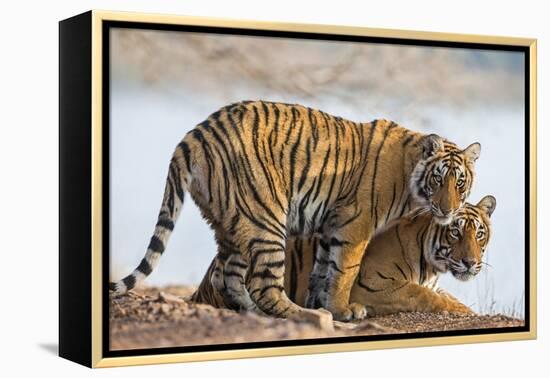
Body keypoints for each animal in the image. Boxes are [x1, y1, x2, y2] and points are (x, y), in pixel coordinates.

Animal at [192, 195, 498, 316]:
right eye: (455, 233)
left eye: (479, 234)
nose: (471, 263)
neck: (431, 266)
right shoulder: (372, 286)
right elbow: (423, 296)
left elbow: (449, 297)